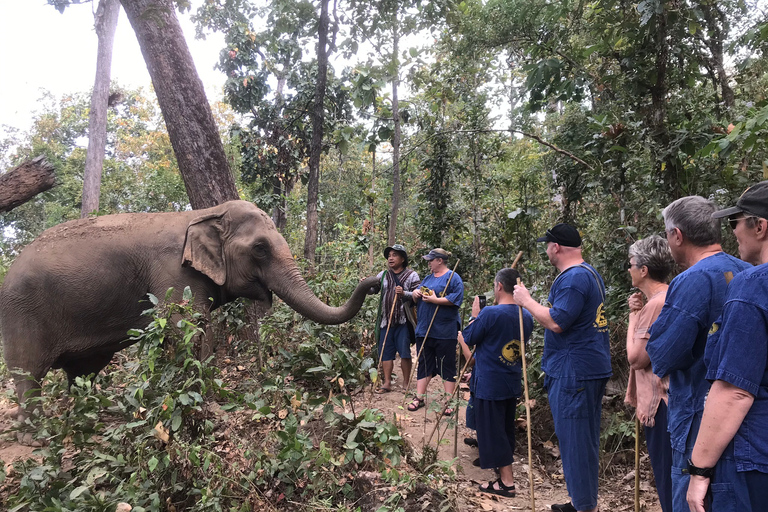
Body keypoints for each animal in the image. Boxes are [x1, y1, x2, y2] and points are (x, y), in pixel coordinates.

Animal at [0, 200, 378, 420]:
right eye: (260, 249)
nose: (375, 281)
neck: (203, 215)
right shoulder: (173, 274)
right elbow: (187, 327)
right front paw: (201, 401)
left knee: (83, 372)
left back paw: (94, 413)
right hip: (22, 313)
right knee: (27, 373)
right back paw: (35, 432)